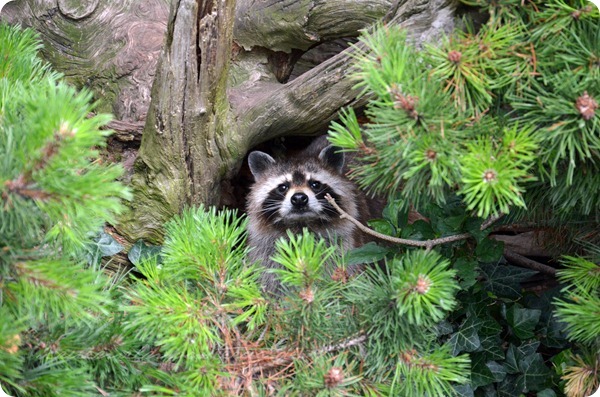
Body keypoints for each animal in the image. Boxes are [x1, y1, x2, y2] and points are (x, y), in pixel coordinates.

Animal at [245, 142, 366, 290]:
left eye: (315, 184)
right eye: (283, 187)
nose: (299, 199)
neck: (301, 226)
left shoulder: (346, 247)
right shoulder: (265, 251)